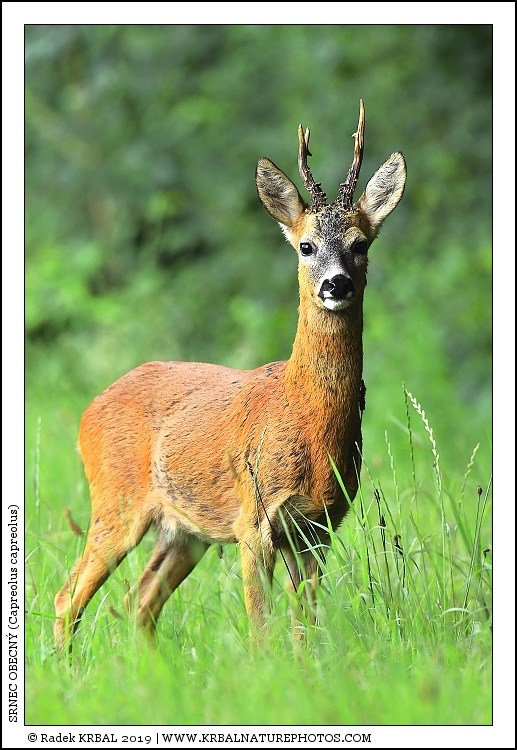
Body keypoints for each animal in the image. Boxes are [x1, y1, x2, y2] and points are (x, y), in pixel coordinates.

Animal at [54, 101, 406, 648]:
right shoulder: (252, 519)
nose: (336, 283)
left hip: (184, 530)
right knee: (67, 599)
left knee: (140, 600)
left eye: (361, 244)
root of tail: (90, 408)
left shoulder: (318, 527)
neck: (306, 416)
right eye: (306, 246)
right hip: (115, 499)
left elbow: (305, 628)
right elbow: (261, 630)